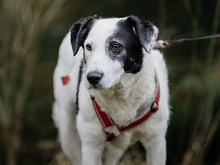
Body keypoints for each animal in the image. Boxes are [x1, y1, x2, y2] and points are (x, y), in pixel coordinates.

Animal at [52, 14, 170, 164]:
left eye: (115, 46)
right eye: (88, 46)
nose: (92, 77)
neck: (119, 95)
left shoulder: (156, 141)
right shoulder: (91, 144)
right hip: (67, 131)